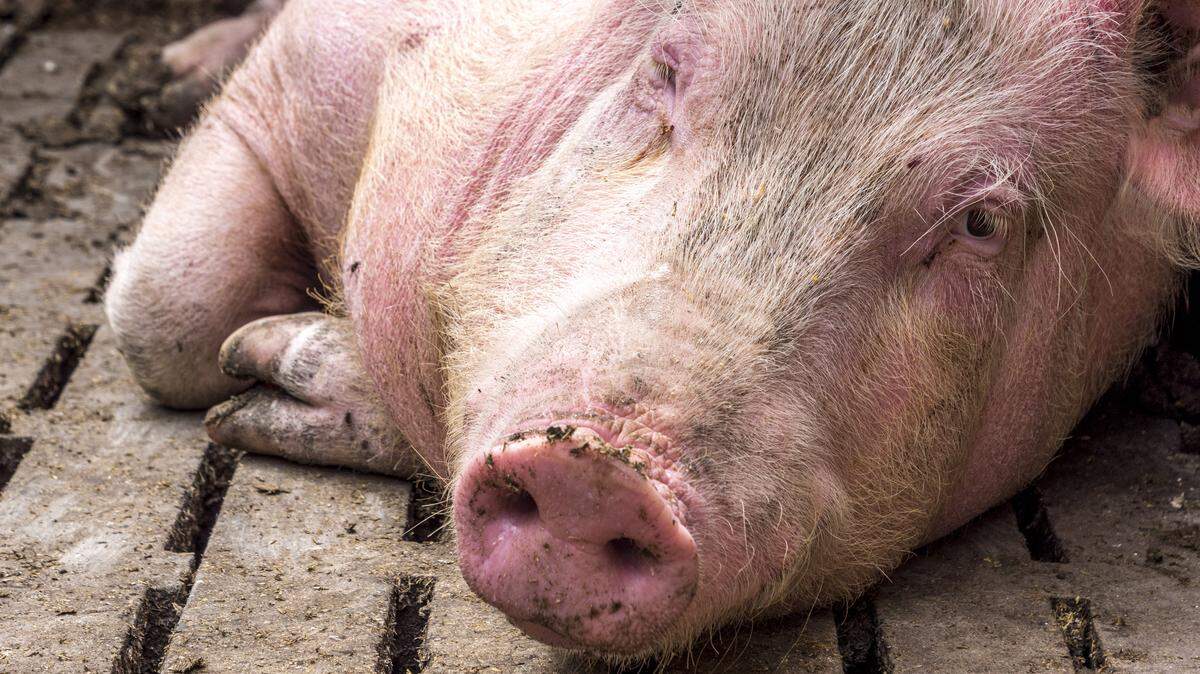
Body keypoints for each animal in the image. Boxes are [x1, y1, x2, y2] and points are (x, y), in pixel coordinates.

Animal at [105, 0, 1200, 660]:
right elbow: (167, 311)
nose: (594, 469)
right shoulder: (308, 59)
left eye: (980, 222)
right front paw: (243, 375)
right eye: (665, 70)